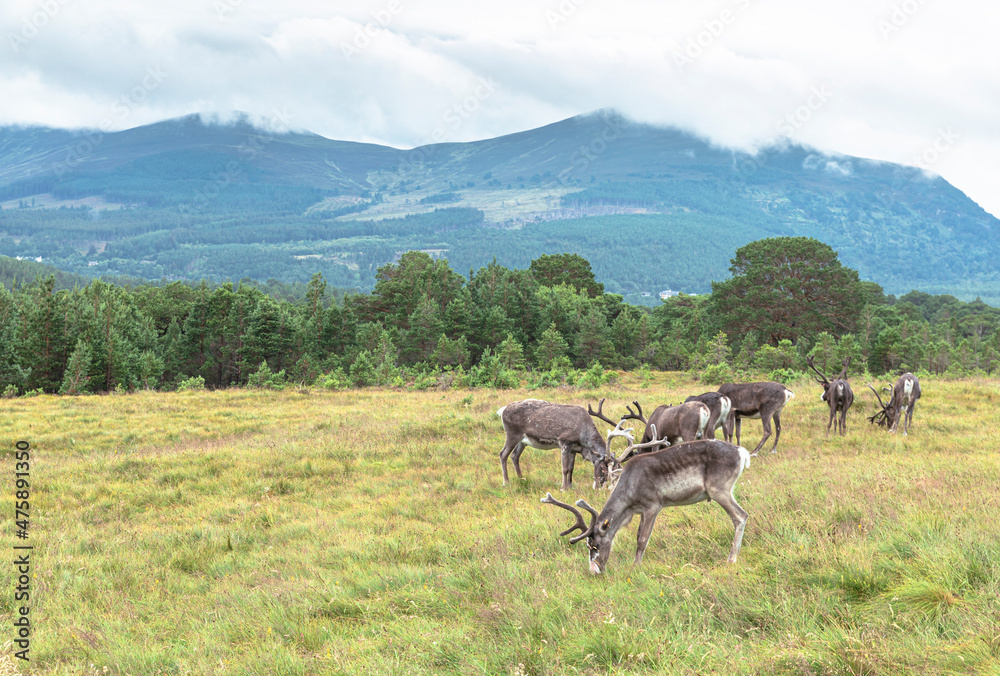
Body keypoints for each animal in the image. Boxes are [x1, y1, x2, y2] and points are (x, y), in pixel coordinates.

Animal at [497, 398, 629, 490]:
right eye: (602, 468)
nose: (599, 487)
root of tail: (503, 410)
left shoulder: (574, 449)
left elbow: (571, 468)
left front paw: (570, 486)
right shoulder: (565, 443)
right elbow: (564, 469)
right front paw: (563, 488)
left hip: (523, 441)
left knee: (515, 456)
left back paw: (522, 478)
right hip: (512, 434)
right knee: (503, 454)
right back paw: (506, 482)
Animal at [541, 436, 752, 574]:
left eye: (595, 545)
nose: (595, 571)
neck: (628, 491)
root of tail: (742, 453)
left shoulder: (653, 505)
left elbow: (642, 539)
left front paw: (636, 566)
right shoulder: (640, 510)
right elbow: (637, 535)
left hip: (719, 489)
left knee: (741, 515)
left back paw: (732, 558)